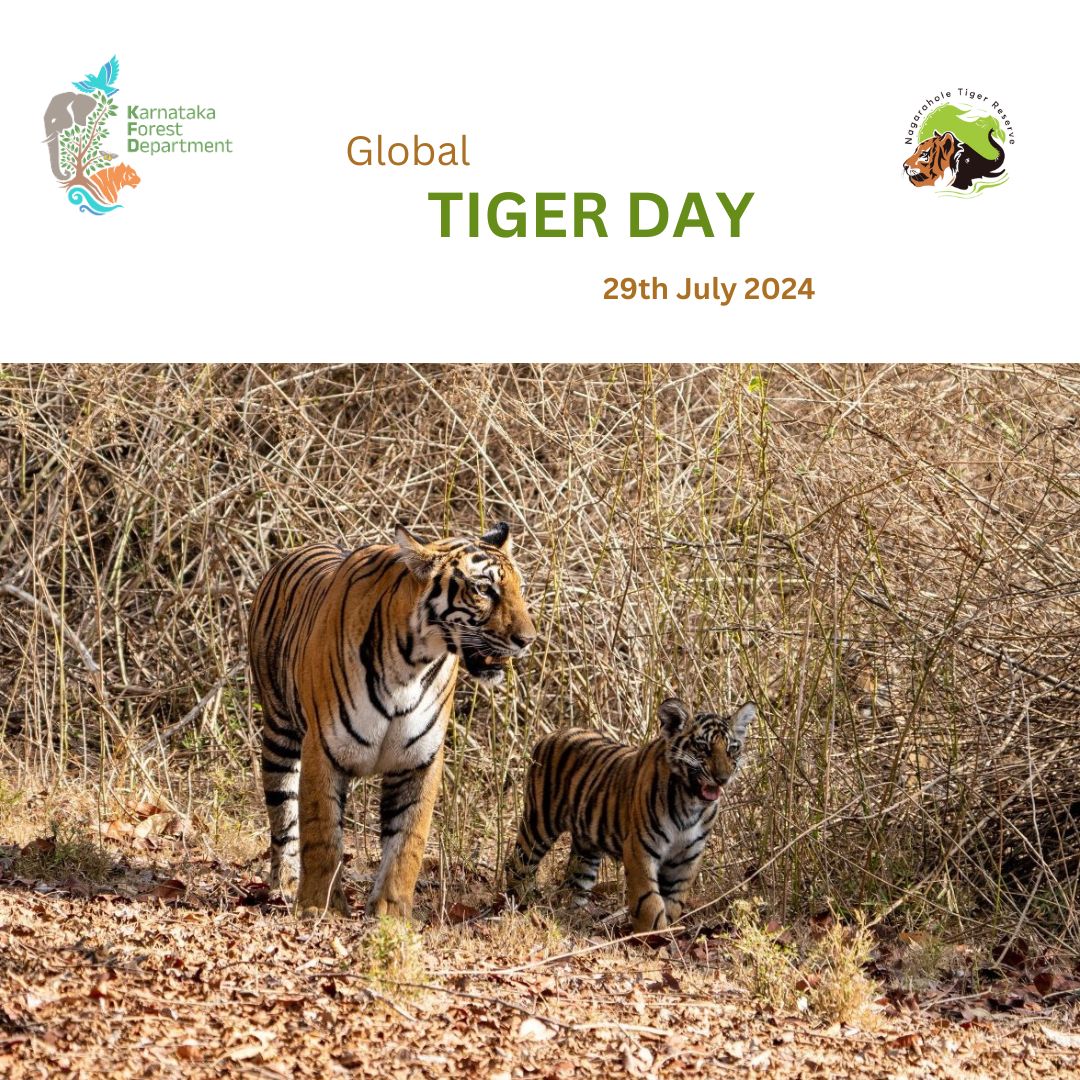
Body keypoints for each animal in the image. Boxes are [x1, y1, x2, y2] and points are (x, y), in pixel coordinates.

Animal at [248, 522, 536, 919]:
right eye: (483, 589)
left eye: (519, 588)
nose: (528, 640)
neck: (412, 665)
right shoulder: (323, 748)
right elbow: (322, 834)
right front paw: (319, 907)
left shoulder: (420, 759)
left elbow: (407, 843)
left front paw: (391, 914)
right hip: (280, 731)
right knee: (283, 816)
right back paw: (286, 882)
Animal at [505, 697, 754, 932]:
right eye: (703, 747)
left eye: (732, 748)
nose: (722, 778)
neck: (691, 803)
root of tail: (554, 732)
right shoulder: (640, 848)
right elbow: (649, 901)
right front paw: (653, 936)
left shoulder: (688, 856)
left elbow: (674, 900)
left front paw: (669, 932)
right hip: (539, 823)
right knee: (519, 864)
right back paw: (518, 903)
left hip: (586, 846)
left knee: (575, 880)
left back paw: (573, 917)